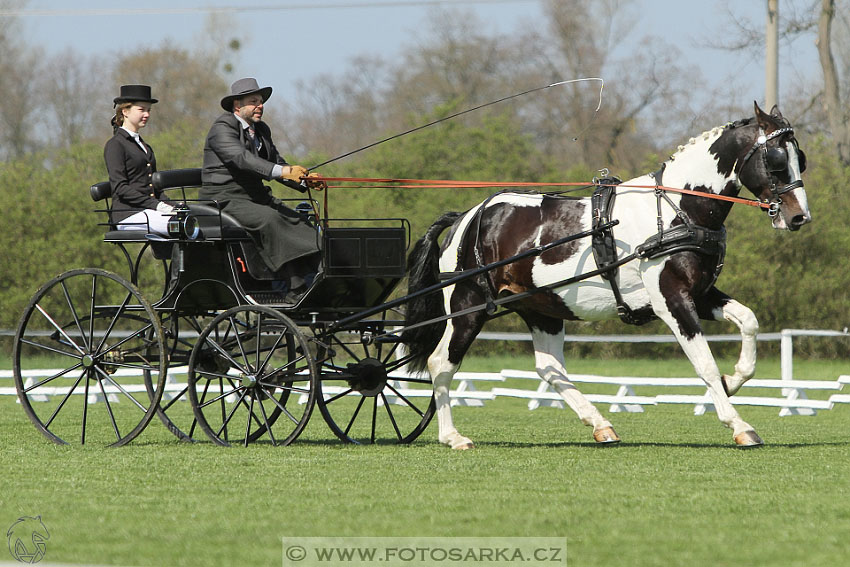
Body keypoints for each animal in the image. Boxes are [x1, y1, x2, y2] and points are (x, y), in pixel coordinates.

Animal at [400, 102, 812, 448]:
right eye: (777, 160)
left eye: (800, 160)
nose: (799, 217)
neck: (677, 209)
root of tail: (467, 218)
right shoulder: (671, 299)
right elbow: (704, 363)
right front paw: (739, 425)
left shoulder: (699, 293)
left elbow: (749, 321)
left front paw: (734, 380)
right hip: (467, 307)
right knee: (441, 363)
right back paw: (452, 436)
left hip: (540, 307)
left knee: (549, 368)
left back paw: (600, 425)